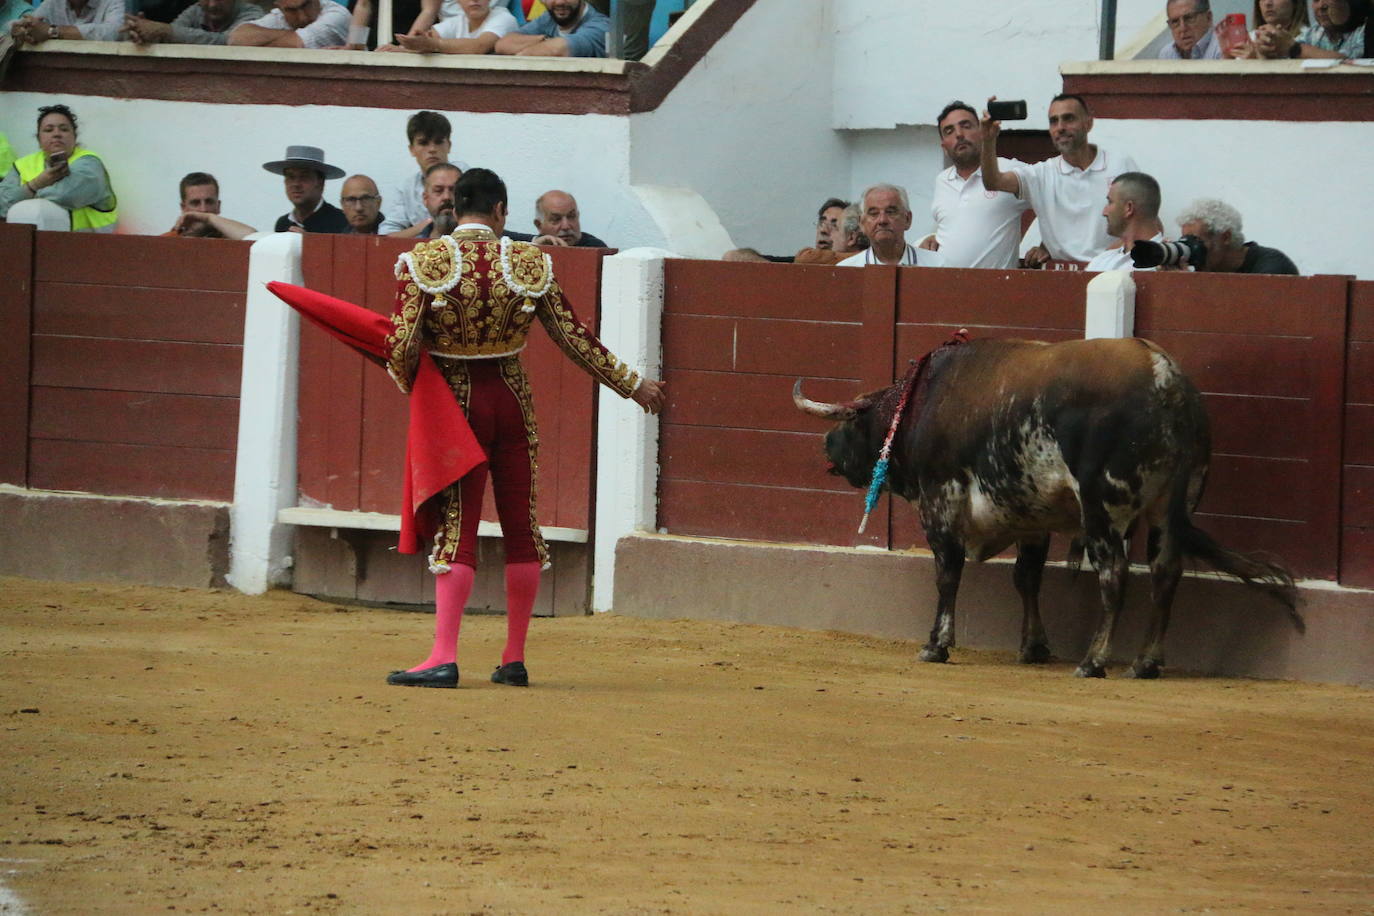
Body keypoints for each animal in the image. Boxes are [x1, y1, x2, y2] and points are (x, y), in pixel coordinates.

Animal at [796, 336, 1297, 681]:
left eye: (851, 423)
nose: (825, 444)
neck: (919, 404)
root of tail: (1167, 381)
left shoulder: (941, 502)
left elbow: (948, 574)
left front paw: (936, 645)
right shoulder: (1030, 516)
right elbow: (1027, 577)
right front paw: (1033, 646)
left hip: (1102, 505)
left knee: (1114, 574)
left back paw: (1094, 661)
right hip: (1169, 508)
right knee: (1165, 573)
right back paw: (1145, 662)